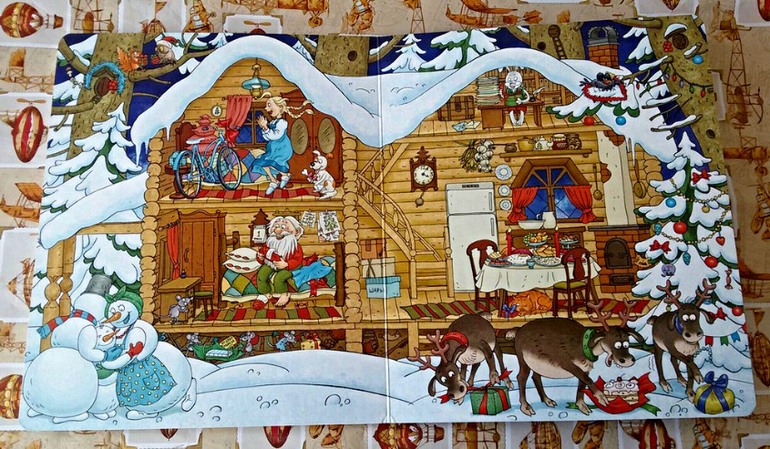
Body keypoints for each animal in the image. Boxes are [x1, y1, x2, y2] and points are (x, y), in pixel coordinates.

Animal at [505, 299, 643, 416]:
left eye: (627, 343)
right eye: (616, 344)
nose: (628, 360)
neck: (585, 346)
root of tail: (518, 330)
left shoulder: (586, 368)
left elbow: (582, 385)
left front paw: (582, 406)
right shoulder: (567, 363)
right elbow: (587, 380)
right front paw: (601, 397)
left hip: (537, 363)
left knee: (536, 377)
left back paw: (547, 400)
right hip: (522, 359)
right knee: (521, 378)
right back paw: (525, 407)